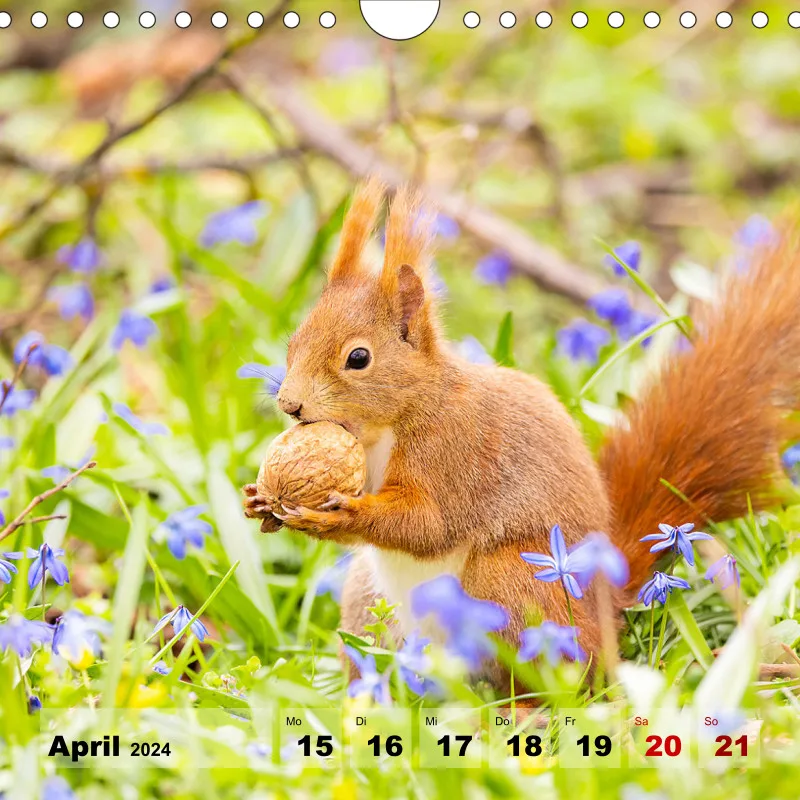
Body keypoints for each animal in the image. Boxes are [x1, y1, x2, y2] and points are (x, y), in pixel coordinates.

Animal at [243, 177, 800, 692]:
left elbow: (428, 524)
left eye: (358, 358)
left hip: (511, 583)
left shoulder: (455, 449)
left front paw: (339, 514)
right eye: (294, 342)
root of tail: (606, 607)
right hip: (366, 600)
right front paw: (258, 498)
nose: (290, 405)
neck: (392, 423)